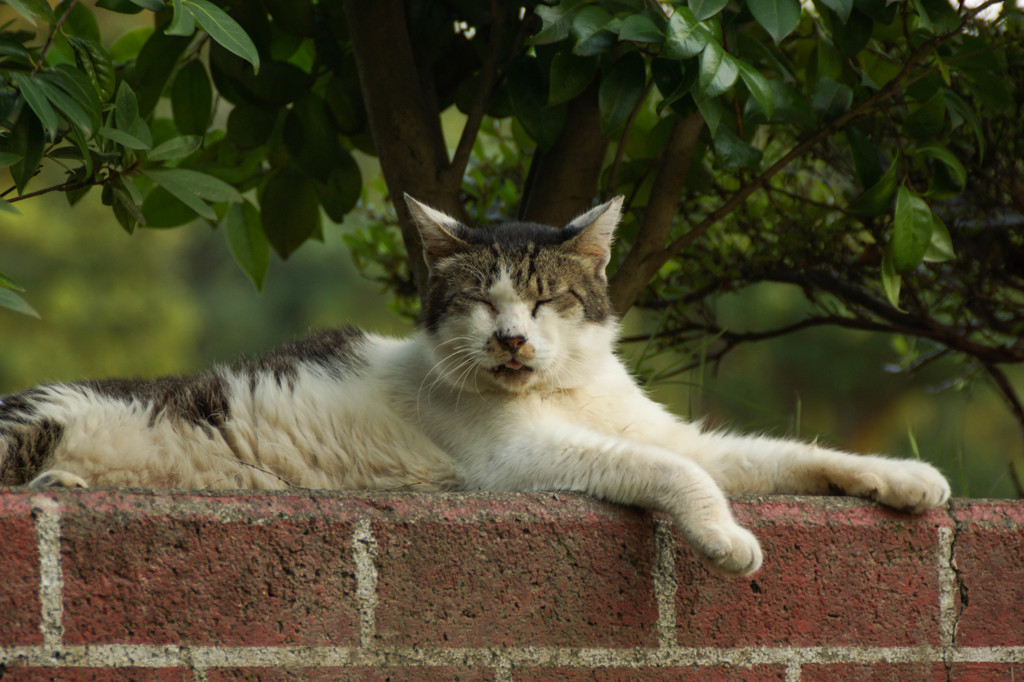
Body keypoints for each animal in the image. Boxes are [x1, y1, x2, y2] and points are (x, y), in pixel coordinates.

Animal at [0, 192, 950, 573]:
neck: (566, 394)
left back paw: (66, 484)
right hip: (34, 418)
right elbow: (679, 473)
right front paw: (727, 539)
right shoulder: (519, 465)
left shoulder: (671, 433)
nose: (510, 339)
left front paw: (904, 479)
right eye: (479, 299)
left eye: (544, 298)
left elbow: (773, 454)